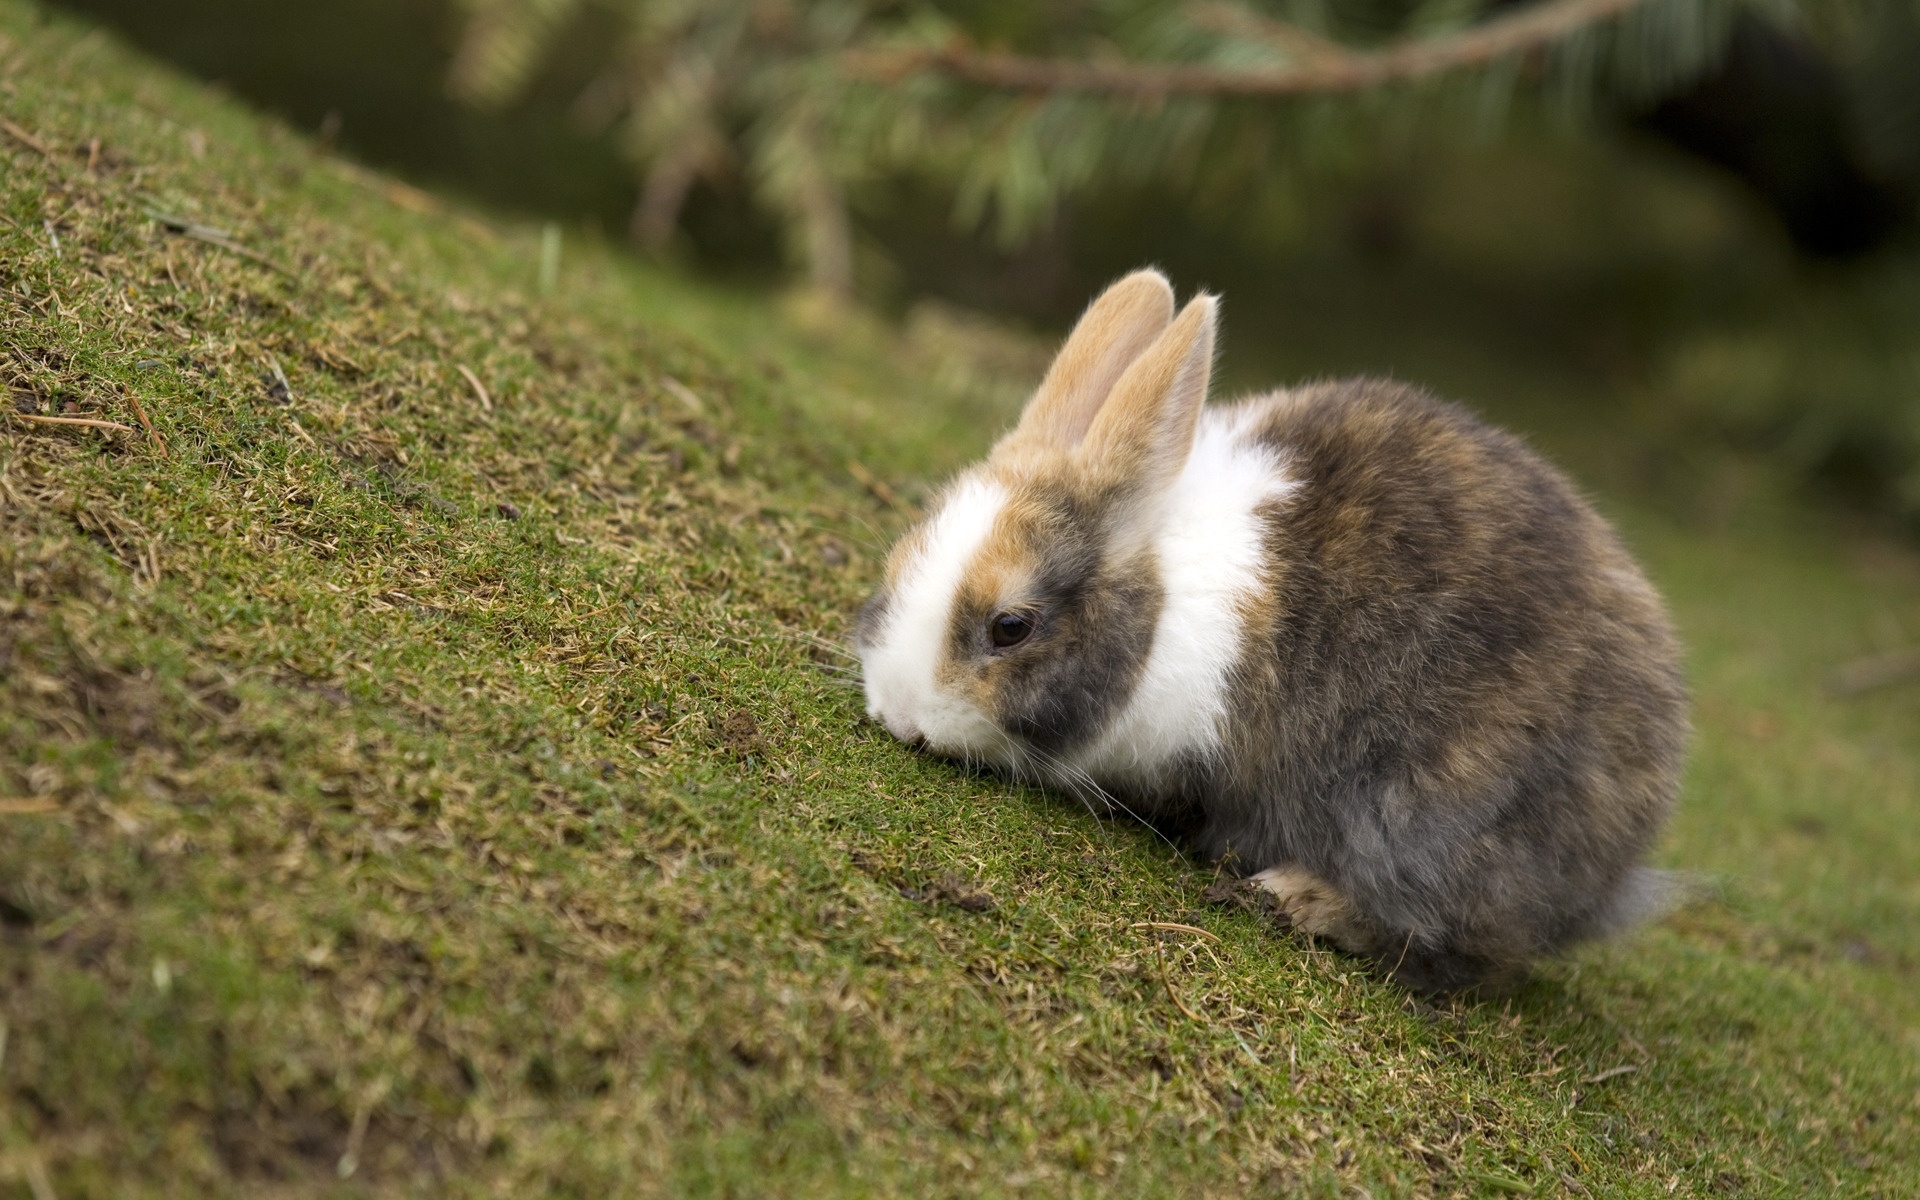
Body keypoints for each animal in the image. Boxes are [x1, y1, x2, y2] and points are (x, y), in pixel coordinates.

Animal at [852, 270, 1681, 990]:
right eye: (899, 558)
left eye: (1011, 627)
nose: (899, 715)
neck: (1156, 603)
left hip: (1426, 823)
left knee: (1458, 951)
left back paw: (1298, 897)